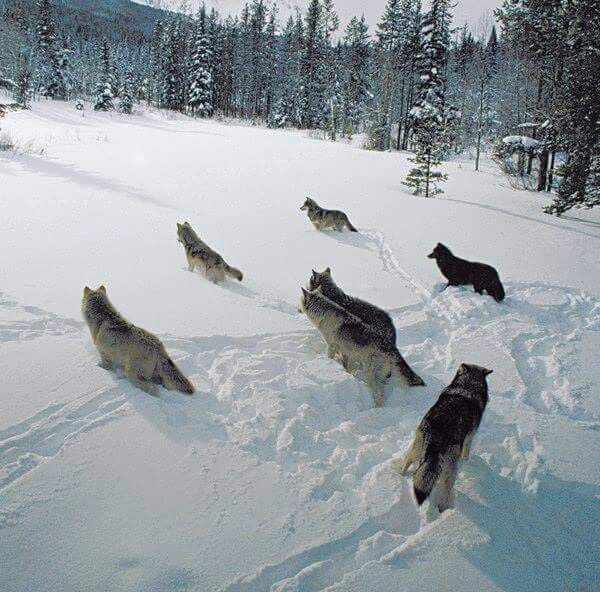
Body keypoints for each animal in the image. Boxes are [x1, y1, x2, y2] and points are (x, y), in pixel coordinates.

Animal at [394, 364, 492, 512]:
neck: (467, 385)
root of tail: (438, 431)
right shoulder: (470, 437)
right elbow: (466, 452)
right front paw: (467, 460)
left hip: (417, 448)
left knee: (407, 461)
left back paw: (401, 475)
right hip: (450, 470)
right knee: (445, 489)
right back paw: (443, 509)